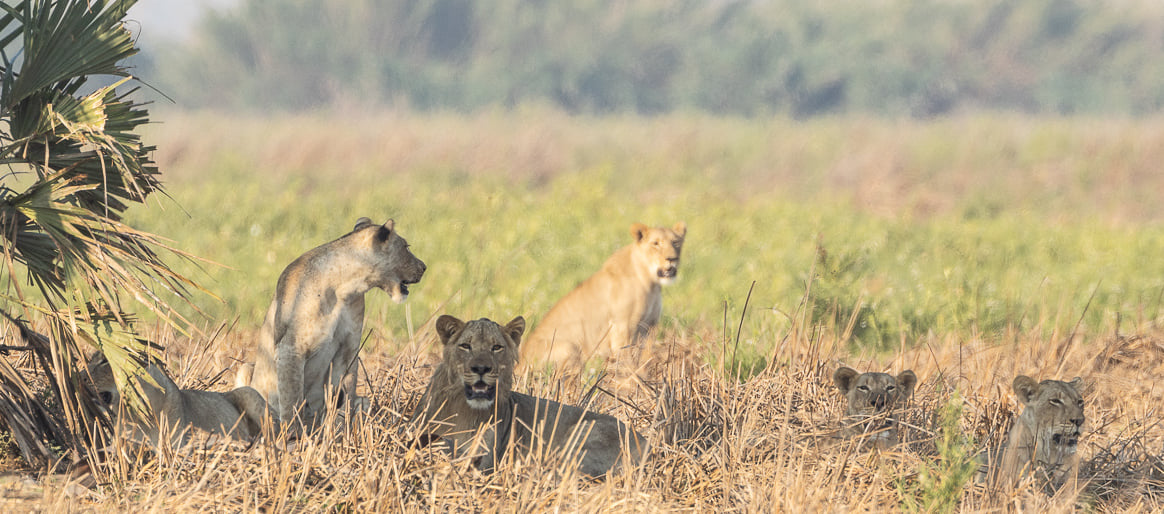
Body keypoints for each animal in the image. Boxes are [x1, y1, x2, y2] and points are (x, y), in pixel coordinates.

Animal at [242, 216, 428, 432]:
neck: (343, 287)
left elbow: (345, 396)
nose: (424, 267)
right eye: (406, 247)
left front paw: (338, 430)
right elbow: (291, 400)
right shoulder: (290, 348)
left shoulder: (349, 348)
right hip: (247, 368)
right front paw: (292, 435)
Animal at [412, 313, 647, 476]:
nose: (481, 368)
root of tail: (648, 444)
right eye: (465, 346)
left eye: (496, 347)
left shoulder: (486, 459)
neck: (464, 409)